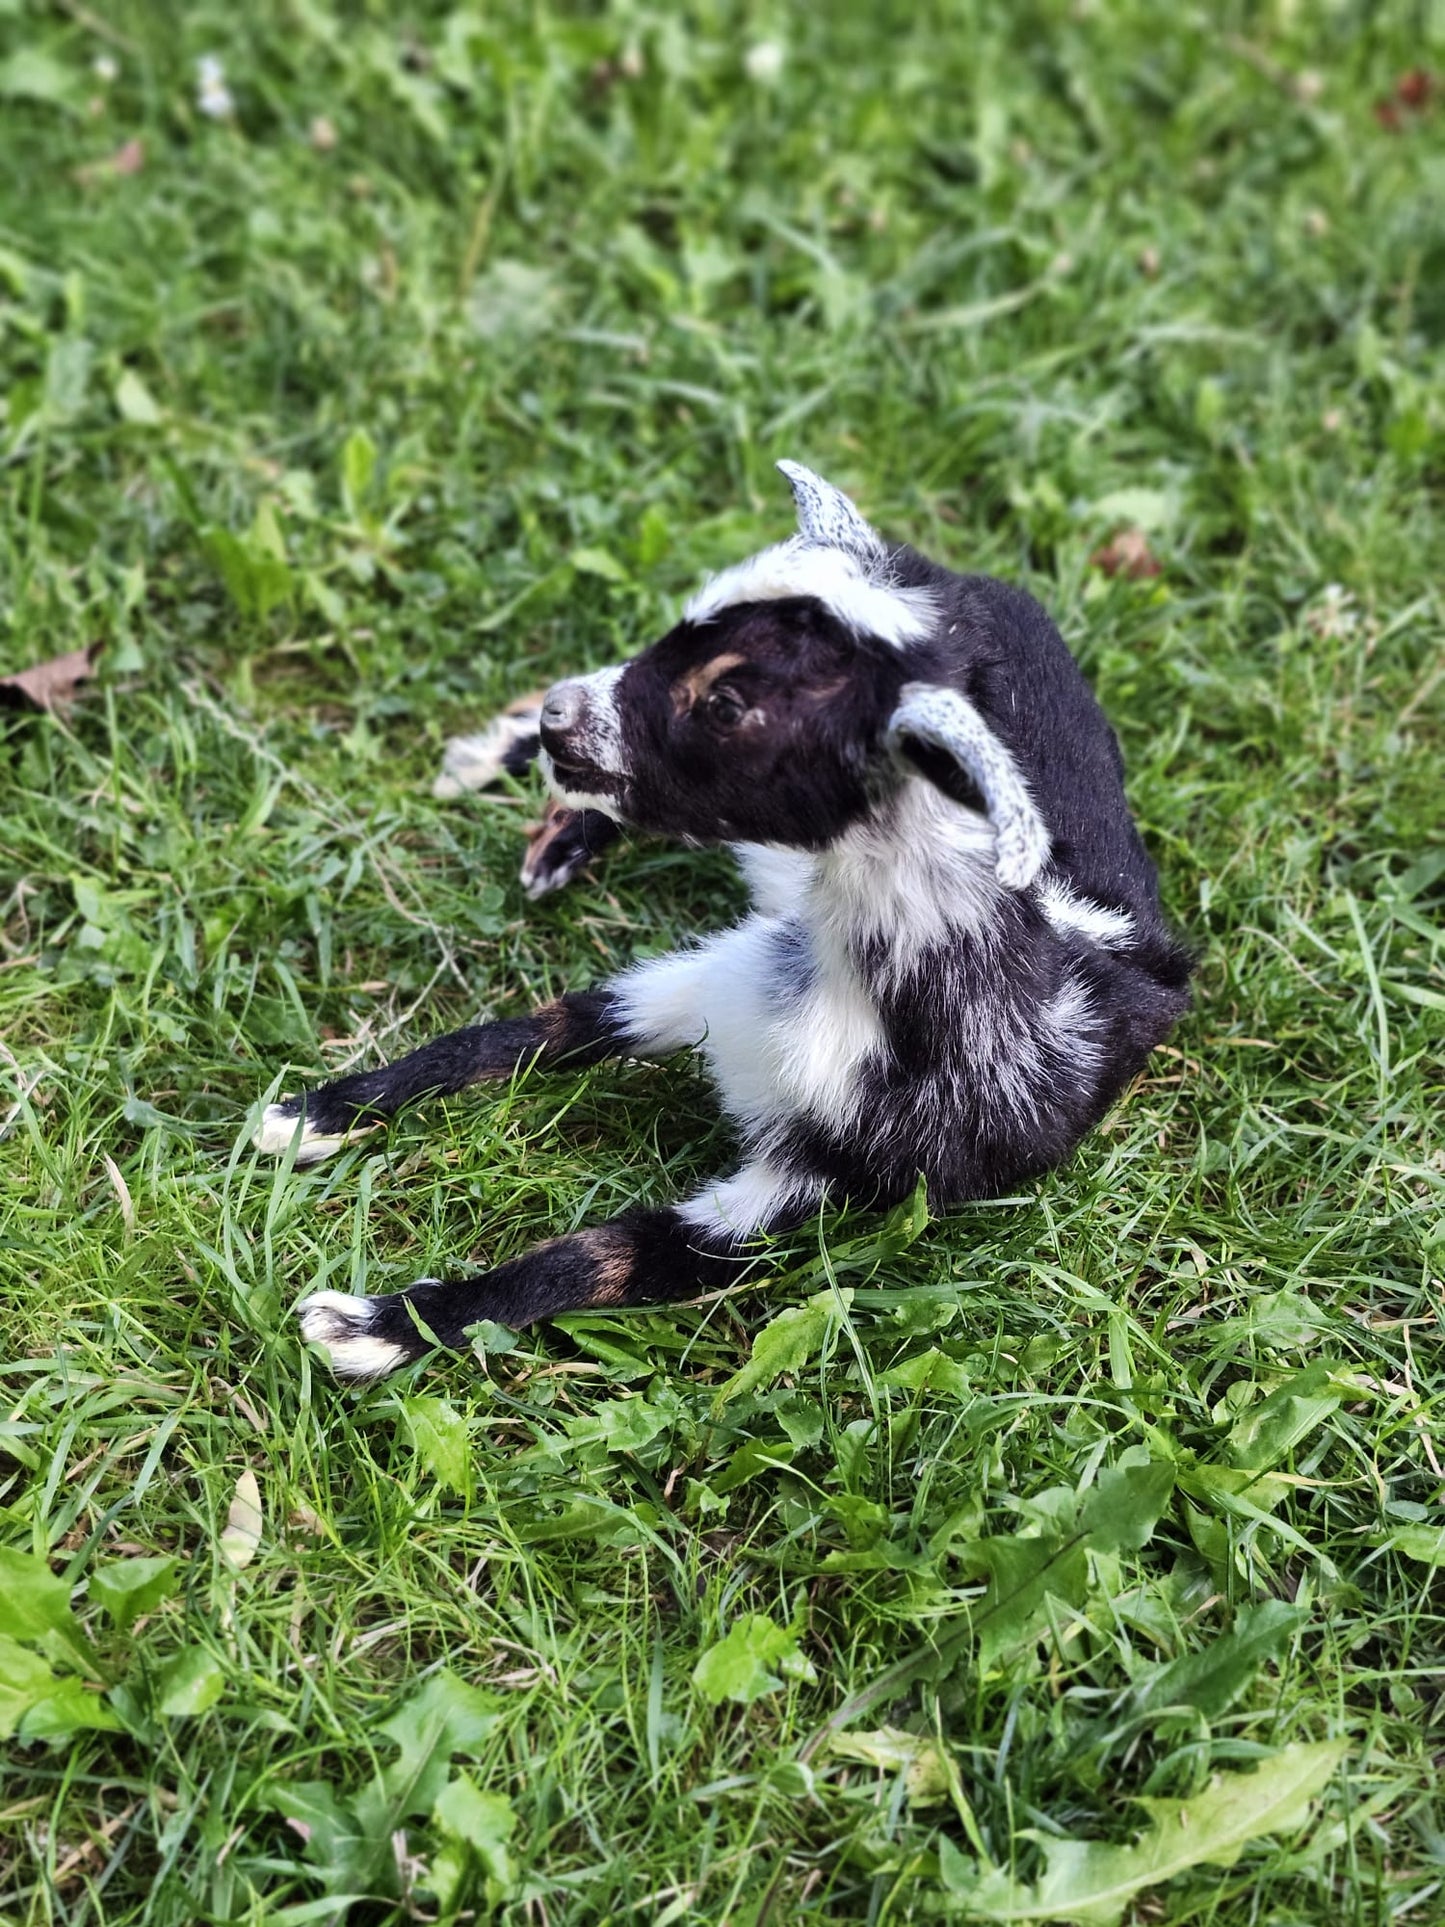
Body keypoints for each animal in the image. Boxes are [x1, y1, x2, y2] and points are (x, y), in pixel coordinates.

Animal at [258, 463, 1192, 1380]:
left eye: (729, 704)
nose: (562, 714)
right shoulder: (694, 987)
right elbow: (525, 1033)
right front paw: (314, 1114)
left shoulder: (816, 1190)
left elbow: (602, 1255)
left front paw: (375, 1327)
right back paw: (508, 774)